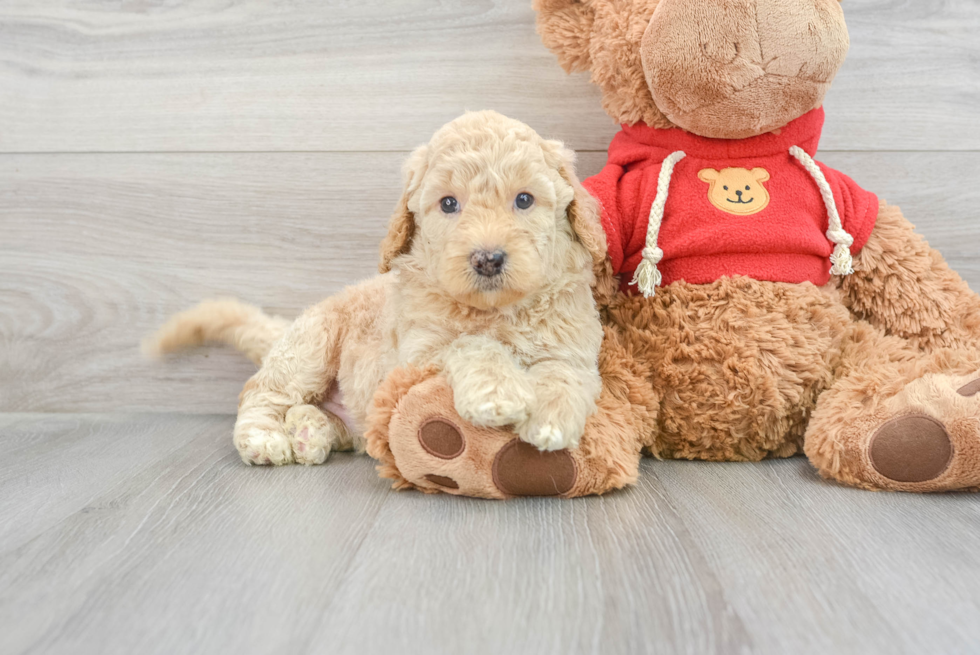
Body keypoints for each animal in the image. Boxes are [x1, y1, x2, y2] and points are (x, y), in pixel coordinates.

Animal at [147, 110, 604, 464]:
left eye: (524, 200)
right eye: (449, 204)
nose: (487, 258)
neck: (497, 310)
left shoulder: (575, 345)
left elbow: (563, 371)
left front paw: (550, 416)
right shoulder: (417, 353)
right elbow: (470, 343)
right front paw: (499, 392)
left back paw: (310, 431)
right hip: (310, 346)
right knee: (260, 392)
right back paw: (265, 438)